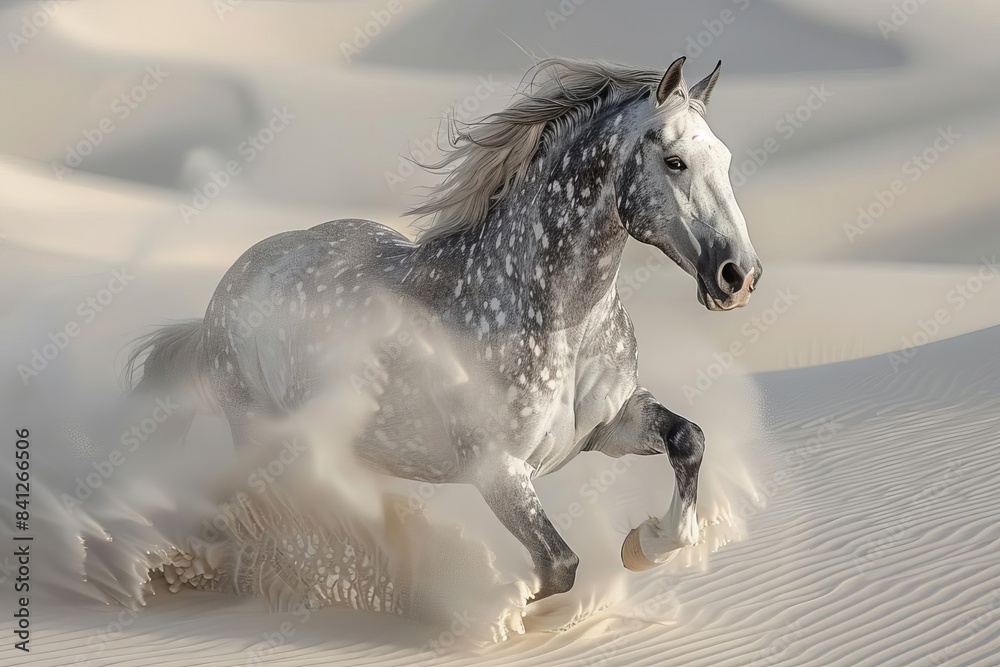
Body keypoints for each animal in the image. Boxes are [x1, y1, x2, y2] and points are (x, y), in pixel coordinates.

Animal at [127, 56, 762, 602]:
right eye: (675, 161)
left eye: (727, 161)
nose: (738, 275)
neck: (556, 319)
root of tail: (226, 291)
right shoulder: (498, 470)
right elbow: (558, 566)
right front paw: (505, 613)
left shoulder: (611, 427)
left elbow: (689, 439)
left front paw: (645, 545)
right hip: (258, 434)